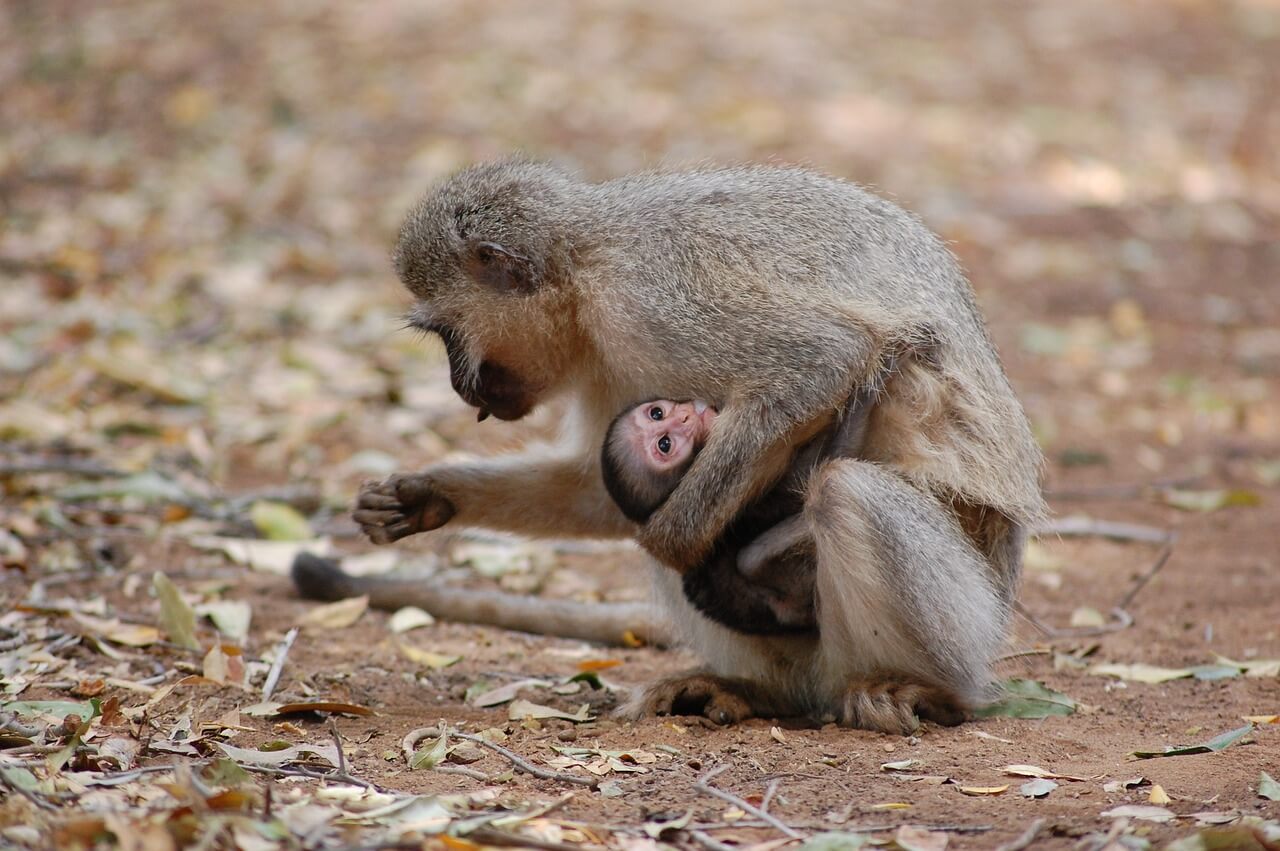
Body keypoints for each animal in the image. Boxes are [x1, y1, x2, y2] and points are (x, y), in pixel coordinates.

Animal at [345, 157, 1044, 731]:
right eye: (658, 424)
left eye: (446, 336)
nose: (458, 385)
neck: (583, 262)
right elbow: (602, 490)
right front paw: (430, 494)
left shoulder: (646, 299)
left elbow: (823, 361)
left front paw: (679, 548)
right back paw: (761, 691)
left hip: (967, 626)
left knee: (846, 491)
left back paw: (927, 691)